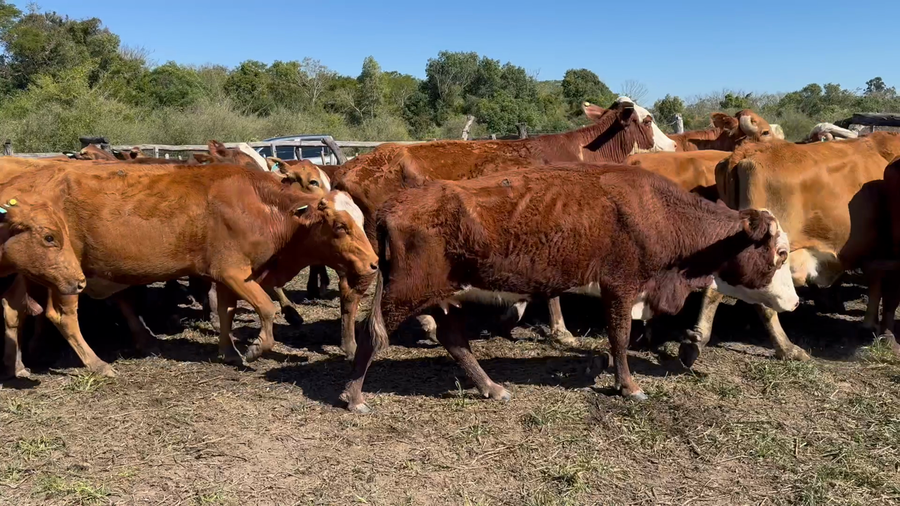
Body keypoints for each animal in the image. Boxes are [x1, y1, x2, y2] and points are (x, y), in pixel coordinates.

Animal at [0, 163, 377, 377]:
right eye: (340, 227)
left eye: (360, 220)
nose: (373, 263)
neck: (258, 205)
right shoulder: (234, 272)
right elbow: (267, 309)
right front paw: (255, 348)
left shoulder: (226, 276)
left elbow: (226, 312)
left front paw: (228, 351)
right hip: (66, 276)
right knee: (62, 317)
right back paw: (96, 364)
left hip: (29, 273)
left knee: (14, 311)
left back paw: (17, 365)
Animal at [339, 164, 798, 413]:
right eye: (780, 252)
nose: (793, 300)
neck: (658, 210)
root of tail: (394, 204)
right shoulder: (621, 286)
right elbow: (620, 337)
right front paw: (629, 386)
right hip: (404, 295)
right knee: (372, 336)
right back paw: (354, 395)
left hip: (444, 297)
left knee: (455, 339)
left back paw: (492, 387)